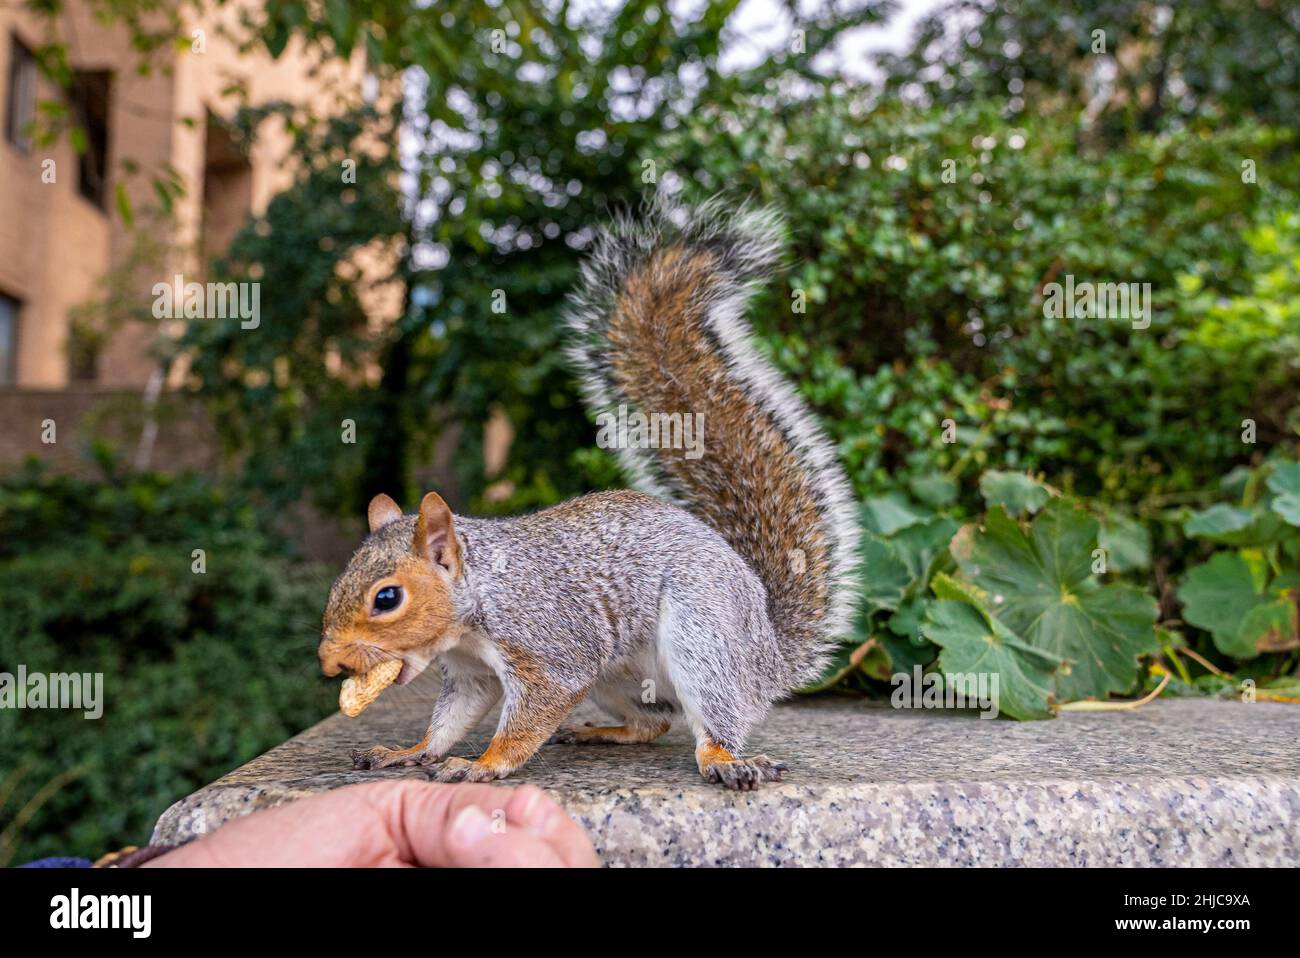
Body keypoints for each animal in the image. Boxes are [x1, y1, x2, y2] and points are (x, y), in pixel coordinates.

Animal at [314, 197, 857, 790]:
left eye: (387, 598)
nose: (329, 663)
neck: (477, 605)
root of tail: (769, 656)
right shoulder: (471, 671)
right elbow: (451, 718)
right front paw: (410, 751)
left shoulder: (552, 645)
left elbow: (531, 715)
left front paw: (481, 764)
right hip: (618, 676)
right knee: (655, 723)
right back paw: (604, 732)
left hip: (702, 634)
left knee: (714, 714)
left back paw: (724, 759)